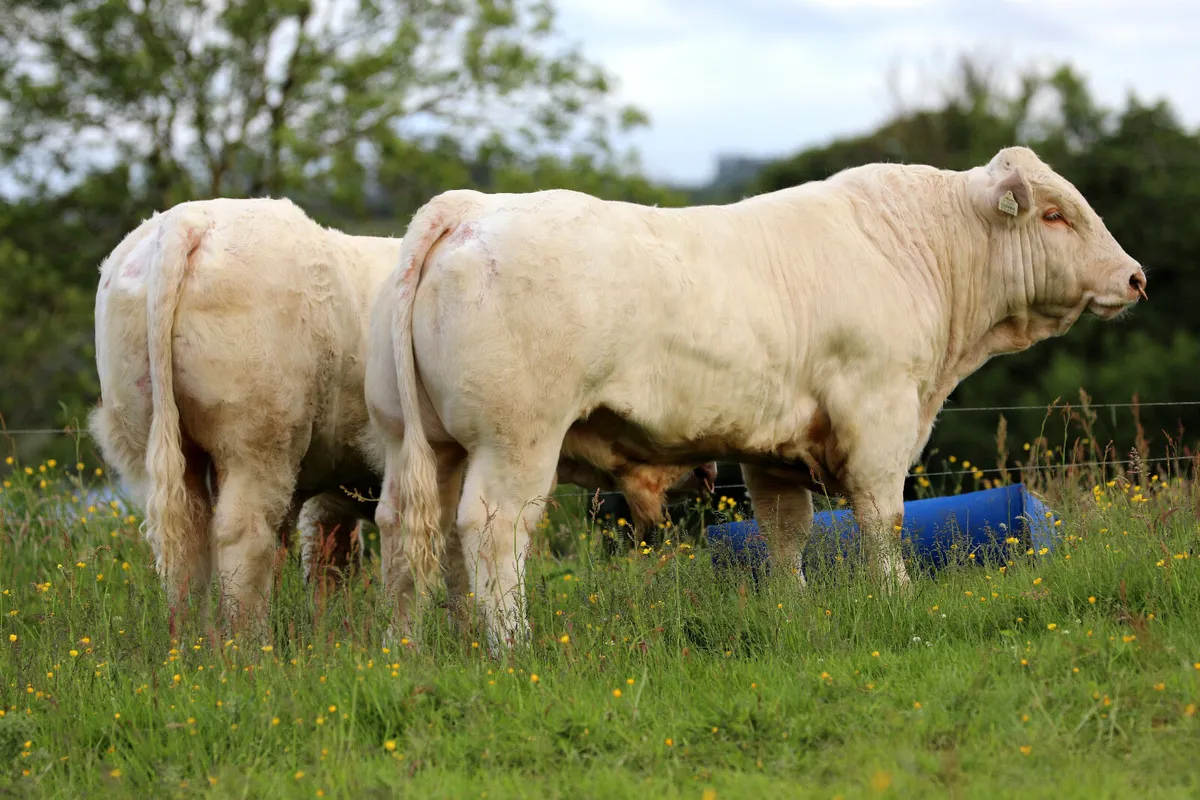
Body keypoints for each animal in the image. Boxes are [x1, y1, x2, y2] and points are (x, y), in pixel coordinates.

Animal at [90, 197, 715, 635]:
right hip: (258, 445)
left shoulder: (333, 496)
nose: (706, 470)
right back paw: (247, 651)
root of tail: (187, 222)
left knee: (185, 545)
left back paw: (195, 647)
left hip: (152, 449)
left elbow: (335, 569)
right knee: (241, 538)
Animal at [369, 145, 1147, 651]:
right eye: (1055, 215)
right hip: (516, 442)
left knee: (411, 535)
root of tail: (469, 208)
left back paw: (417, 650)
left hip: (421, 445)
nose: (1135, 276)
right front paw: (896, 599)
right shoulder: (879, 415)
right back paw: (511, 646)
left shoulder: (774, 449)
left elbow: (784, 534)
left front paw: (794, 614)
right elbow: (883, 520)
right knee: (492, 532)